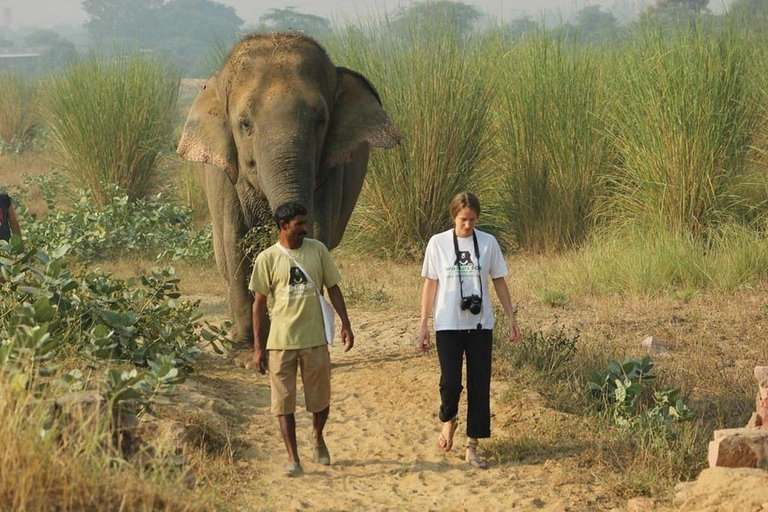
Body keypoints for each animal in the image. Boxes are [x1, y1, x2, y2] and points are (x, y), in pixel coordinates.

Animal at [176, 33, 400, 352]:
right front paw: (248, 353)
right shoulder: (225, 177)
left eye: (320, 121)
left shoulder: (329, 172)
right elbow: (236, 243)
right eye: (245, 124)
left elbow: (316, 234)